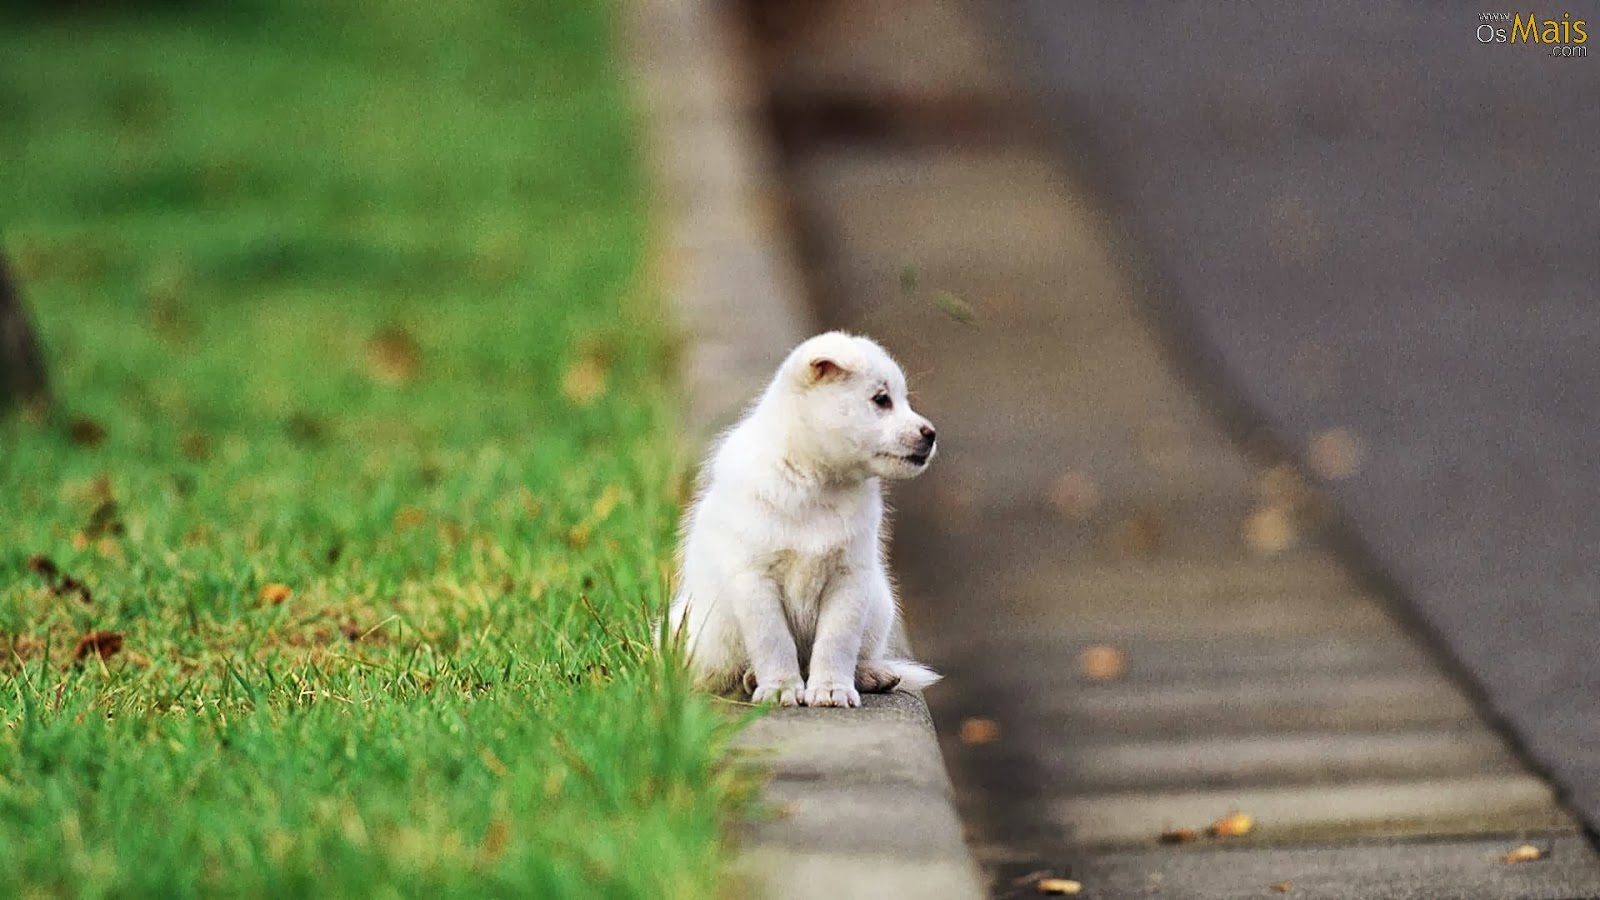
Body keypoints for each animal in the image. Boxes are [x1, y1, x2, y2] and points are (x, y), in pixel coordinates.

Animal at [668, 331, 940, 707]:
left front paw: (831, 688)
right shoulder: (756, 580)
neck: (817, 484)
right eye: (881, 399)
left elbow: (836, 642)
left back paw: (871, 674)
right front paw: (781, 687)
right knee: (725, 672)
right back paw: (750, 678)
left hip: (879, 604)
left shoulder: (849, 579)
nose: (931, 434)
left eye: (902, 399)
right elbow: (774, 641)